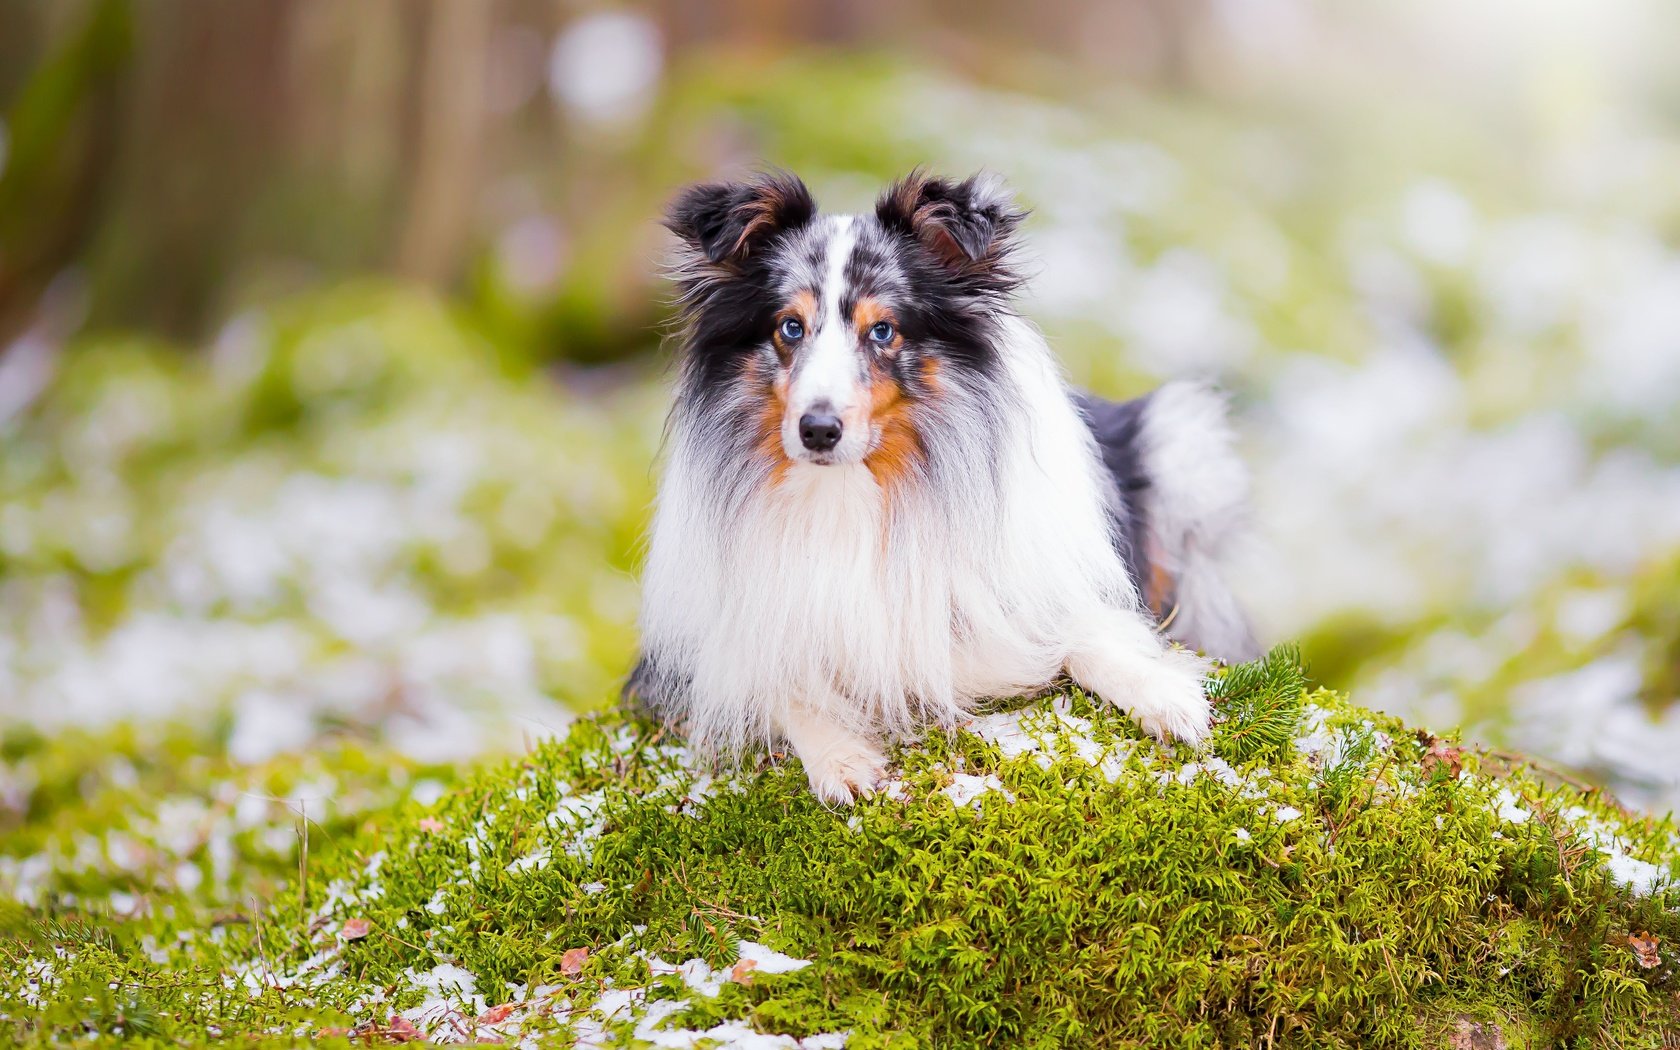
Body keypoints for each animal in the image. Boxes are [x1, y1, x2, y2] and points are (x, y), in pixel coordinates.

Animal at [624, 169, 1256, 803]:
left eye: (882, 330)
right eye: (791, 327)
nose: (818, 430)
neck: (850, 493)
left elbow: (1082, 630)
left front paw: (1164, 694)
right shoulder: (692, 655)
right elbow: (779, 681)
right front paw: (841, 757)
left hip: (1179, 446)